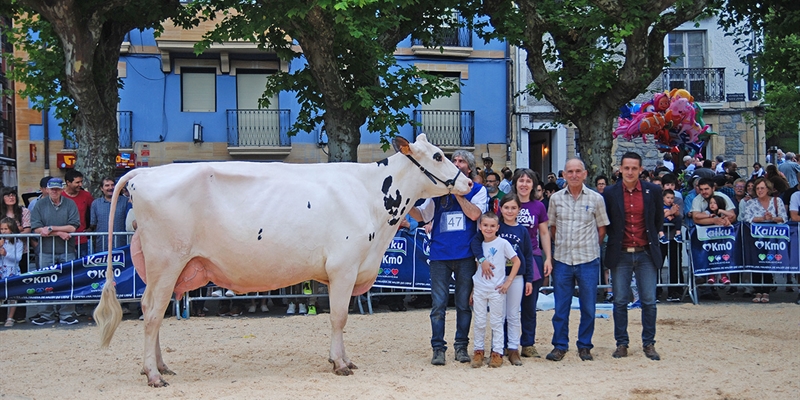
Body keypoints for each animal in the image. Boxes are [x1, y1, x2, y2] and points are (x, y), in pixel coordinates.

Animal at [94, 135, 472, 388]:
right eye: (438, 155)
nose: (468, 182)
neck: (372, 199)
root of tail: (144, 174)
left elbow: (340, 319)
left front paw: (344, 359)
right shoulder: (344, 267)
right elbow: (338, 317)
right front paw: (340, 363)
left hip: (163, 267)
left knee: (153, 312)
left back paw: (160, 366)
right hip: (166, 261)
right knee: (152, 312)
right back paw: (153, 374)